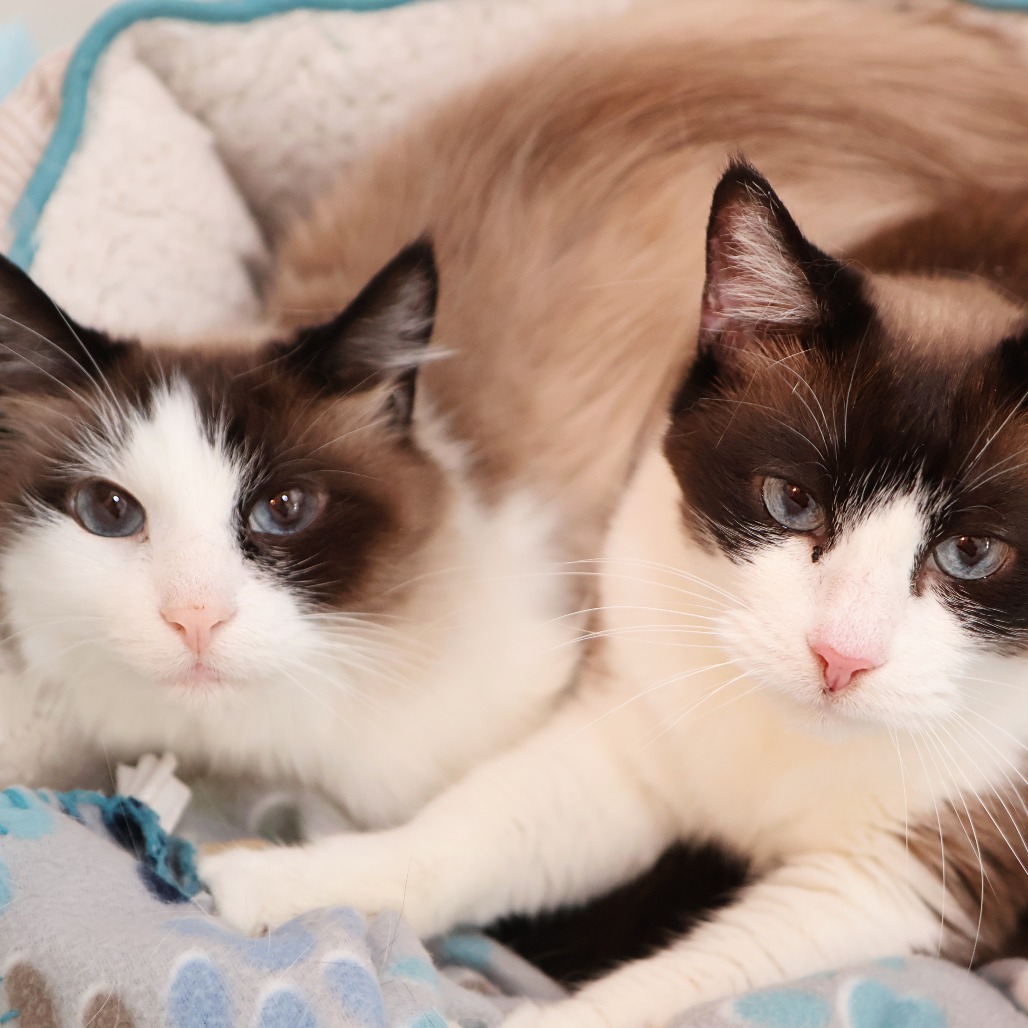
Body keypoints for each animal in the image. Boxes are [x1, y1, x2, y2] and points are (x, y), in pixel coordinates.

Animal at [204, 162, 1028, 1028]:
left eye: (972, 553)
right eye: (792, 501)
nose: (840, 655)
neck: (787, 733)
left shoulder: (919, 873)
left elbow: (714, 969)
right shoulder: (633, 720)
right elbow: (483, 827)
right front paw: (290, 881)